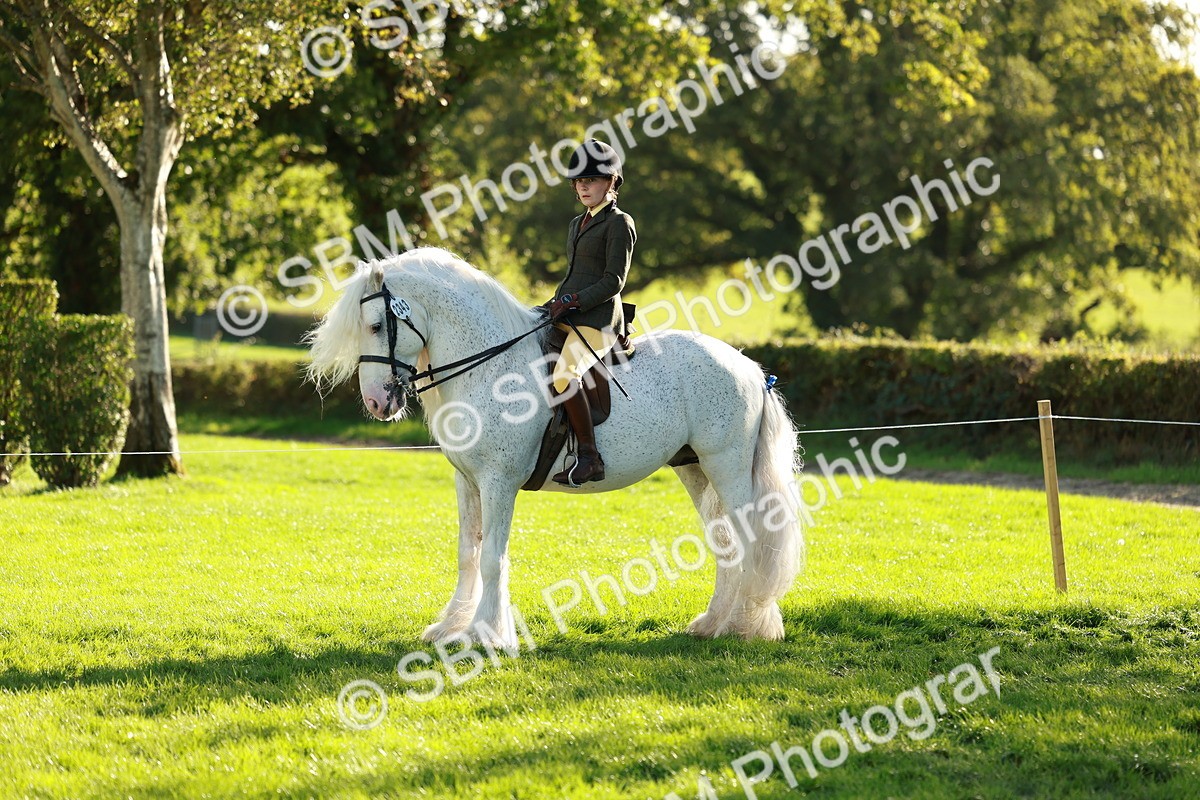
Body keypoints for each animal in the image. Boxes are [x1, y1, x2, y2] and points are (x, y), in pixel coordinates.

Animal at [306, 247, 804, 648]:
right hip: (695, 469)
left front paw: (488, 636)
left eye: (375, 325)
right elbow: (469, 554)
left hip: (727, 466)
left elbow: (493, 558)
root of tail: (748, 367)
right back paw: (713, 624)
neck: (490, 365)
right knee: (725, 544)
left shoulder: (499, 481)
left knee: (749, 541)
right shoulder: (468, 481)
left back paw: (743, 626)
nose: (376, 402)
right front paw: (450, 628)